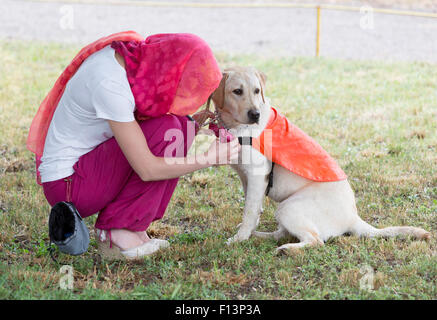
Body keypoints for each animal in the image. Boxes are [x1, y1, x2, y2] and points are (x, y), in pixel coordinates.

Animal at [211, 67, 430, 252]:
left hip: (288, 207)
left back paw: (287, 250)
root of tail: (353, 217)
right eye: (237, 91)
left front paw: (239, 238)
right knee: (282, 234)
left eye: (257, 91)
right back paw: (261, 236)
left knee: (315, 240)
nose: (255, 114)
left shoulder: (258, 176)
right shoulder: (245, 176)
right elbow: (254, 208)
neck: (235, 126)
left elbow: (249, 211)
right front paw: (247, 233)